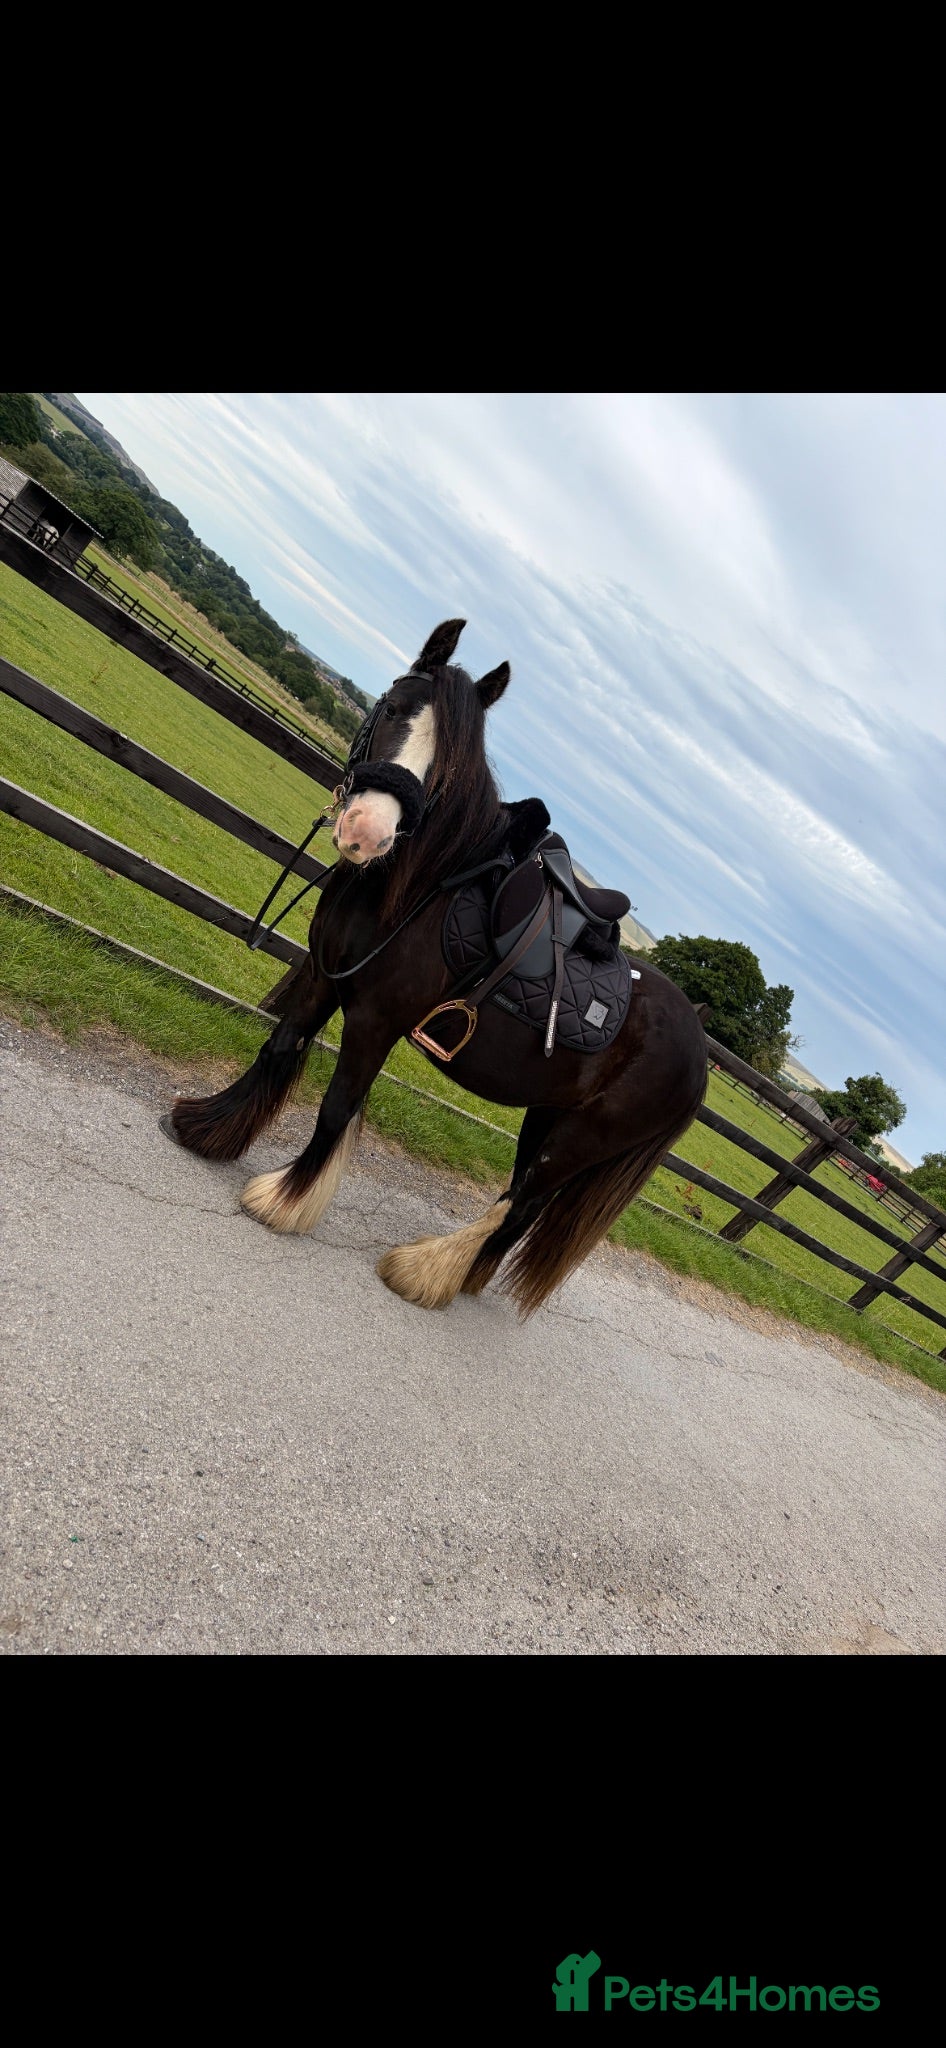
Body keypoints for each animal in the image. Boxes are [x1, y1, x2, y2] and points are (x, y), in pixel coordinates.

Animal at [164, 619, 708, 1316]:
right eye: (393, 708)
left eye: (448, 758)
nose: (366, 832)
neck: (416, 886)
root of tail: (699, 1051)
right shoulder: (321, 978)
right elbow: (279, 1049)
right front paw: (211, 1130)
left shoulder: (374, 1020)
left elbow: (337, 1107)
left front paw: (284, 1201)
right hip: (548, 1114)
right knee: (520, 1211)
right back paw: (464, 1278)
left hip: (581, 1140)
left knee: (516, 1202)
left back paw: (423, 1272)